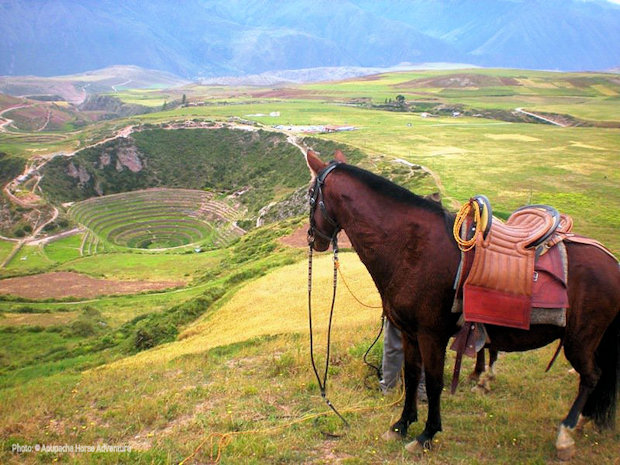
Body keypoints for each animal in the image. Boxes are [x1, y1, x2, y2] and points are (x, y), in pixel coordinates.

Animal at [306, 150, 620, 460]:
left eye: (309, 195)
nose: (313, 239)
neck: (412, 248)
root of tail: (612, 261)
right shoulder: (410, 334)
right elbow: (412, 376)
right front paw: (402, 425)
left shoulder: (432, 336)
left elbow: (434, 383)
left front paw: (427, 434)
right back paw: (582, 421)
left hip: (580, 340)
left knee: (591, 376)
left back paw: (566, 433)